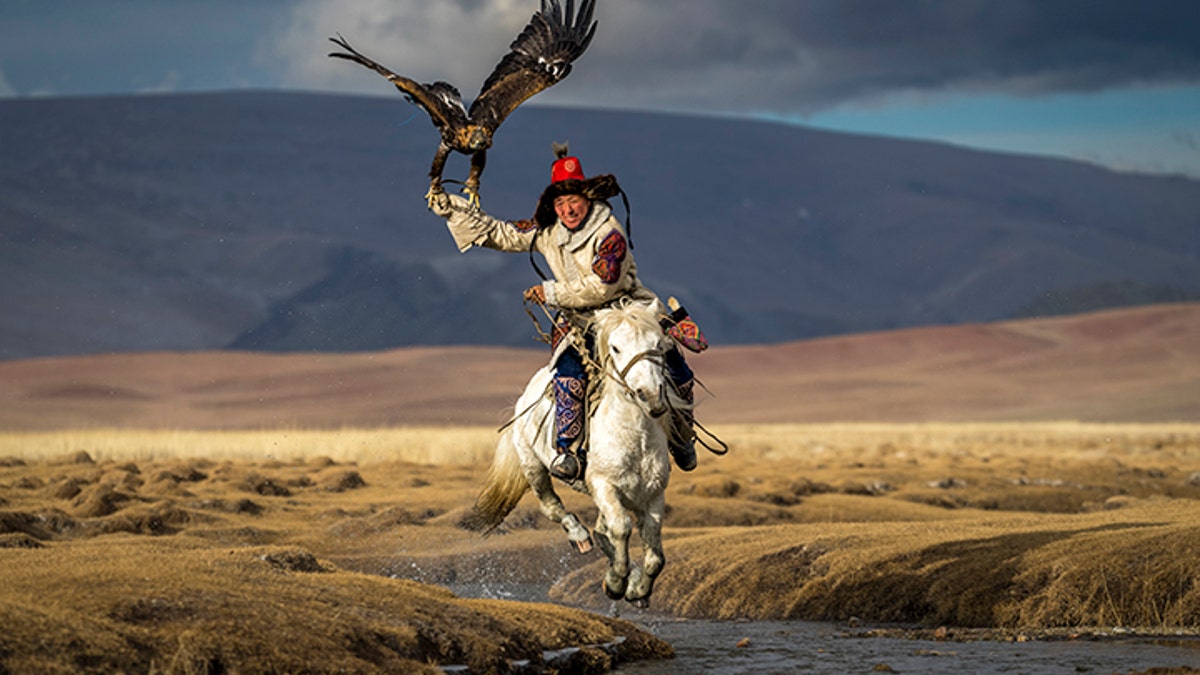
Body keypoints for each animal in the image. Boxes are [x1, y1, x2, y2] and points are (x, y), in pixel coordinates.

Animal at [460, 297, 686, 605]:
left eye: (659, 343)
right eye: (615, 347)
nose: (650, 395)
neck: (634, 437)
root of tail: (524, 396)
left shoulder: (653, 494)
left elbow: (655, 556)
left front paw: (638, 588)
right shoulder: (604, 486)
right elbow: (621, 528)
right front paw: (616, 583)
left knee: (601, 530)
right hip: (533, 467)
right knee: (552, 507)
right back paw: (579, 537)